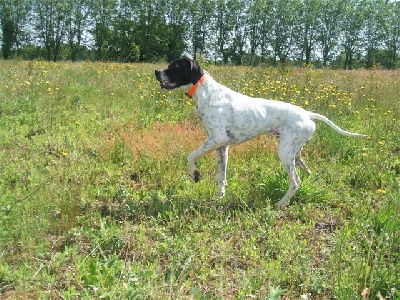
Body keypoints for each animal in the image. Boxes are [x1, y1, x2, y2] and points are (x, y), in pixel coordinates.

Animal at [154, 58, 366, 209]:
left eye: (174, 66)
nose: (156, 72)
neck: (208, 93)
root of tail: (307, 114)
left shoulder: (216, 139)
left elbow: (191, 155)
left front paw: (195, 174)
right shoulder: (222, 146)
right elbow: (221, 177)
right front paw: (219, 197)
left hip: (285, 153)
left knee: (295, 182)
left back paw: (281, 203)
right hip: (295, 154)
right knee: (307, 173)